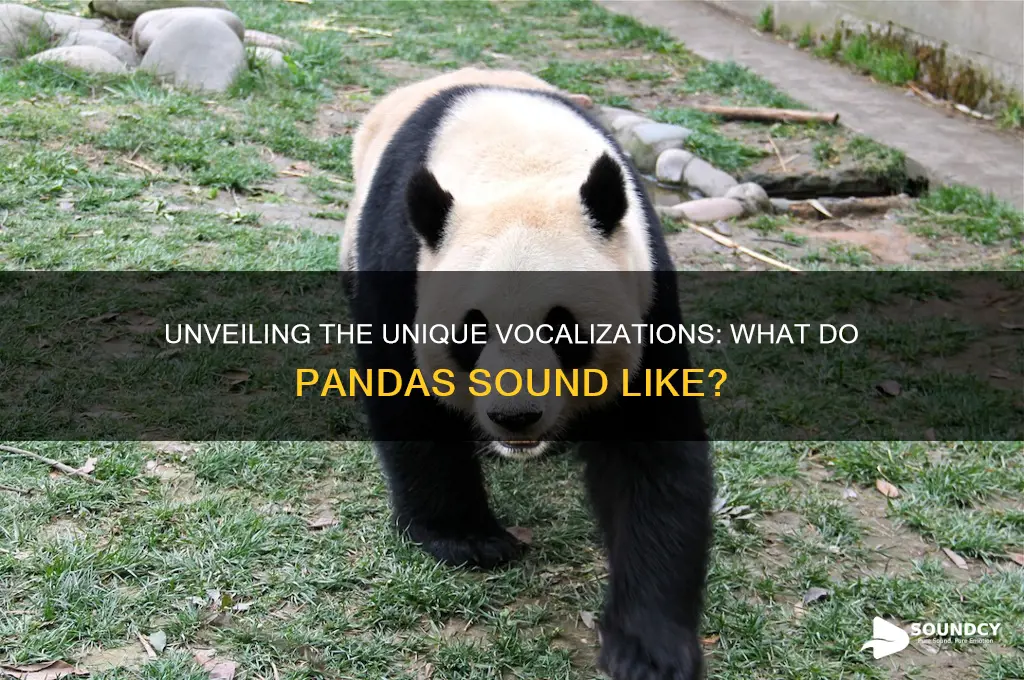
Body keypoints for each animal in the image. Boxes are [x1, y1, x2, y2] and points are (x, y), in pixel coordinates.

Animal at [342, 68, 713, 680]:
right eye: (471, 333)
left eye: (564, 330)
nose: (515, 417)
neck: (517, 161)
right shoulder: (401, 258)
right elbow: (406, 397)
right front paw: (467, 539)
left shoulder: (646, 288)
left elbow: (652, 452)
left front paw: (648, 648)